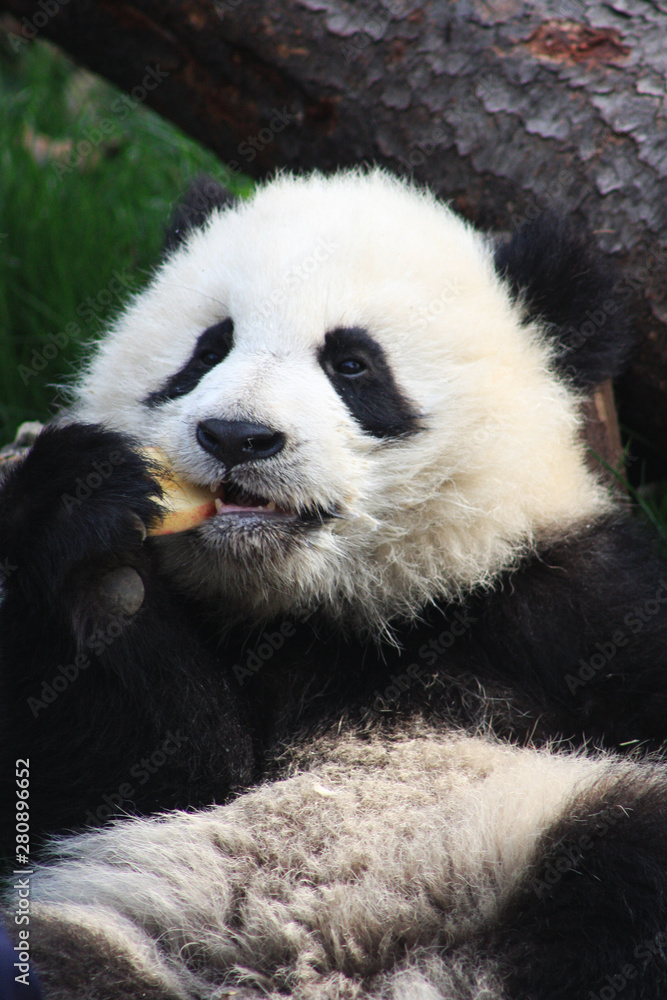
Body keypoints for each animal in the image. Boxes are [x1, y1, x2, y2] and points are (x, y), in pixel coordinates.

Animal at [2, 169, 667, 999]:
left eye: (352, 364)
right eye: (208, 348)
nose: (237, 436)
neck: (345, 614)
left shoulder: (568, 613)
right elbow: (142, 771)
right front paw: (92, 555)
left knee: (620, 855)